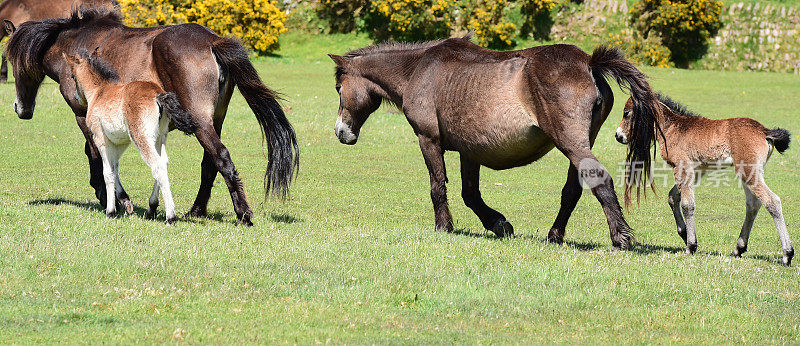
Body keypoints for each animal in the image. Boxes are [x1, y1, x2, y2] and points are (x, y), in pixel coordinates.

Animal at [63, 50, 197, 223]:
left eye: (73, 77)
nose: (76, 97)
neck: (99, 91)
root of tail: (157, 95)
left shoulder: (101, 139)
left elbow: (107, 172)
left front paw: (111, 211)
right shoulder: (120, 142)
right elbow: (115, 168)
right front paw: (125, 202)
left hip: (141, 138)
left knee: (157, 166)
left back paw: (170, 217)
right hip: (160, 137)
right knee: (164, 162)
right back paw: (152, 208)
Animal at [328, 38, 660, 249]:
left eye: (338, 88)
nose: (341, 132)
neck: (418, 69)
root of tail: (589, 62)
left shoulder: (428, 139)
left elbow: (438, 186)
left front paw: (443, 227)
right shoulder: (469, 150)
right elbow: (470, 194)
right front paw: (499, 224)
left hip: (571, 142)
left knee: (599, 180)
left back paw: (620, 238)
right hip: (578, 142)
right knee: (572, 191)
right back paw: (554, 236)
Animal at [612, 94, 792, 264]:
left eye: (627, 113)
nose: (618, 136)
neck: (670, 127)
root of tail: (764, 131)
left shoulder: (682, 167)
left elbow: (687, 205)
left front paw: (690, 246)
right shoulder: (697, 170)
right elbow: (673, 197)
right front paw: (684, 234)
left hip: (749, 172)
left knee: (772, 201)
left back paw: (787, 254)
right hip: (749, 174)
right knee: (753, 205)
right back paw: (738, 249)